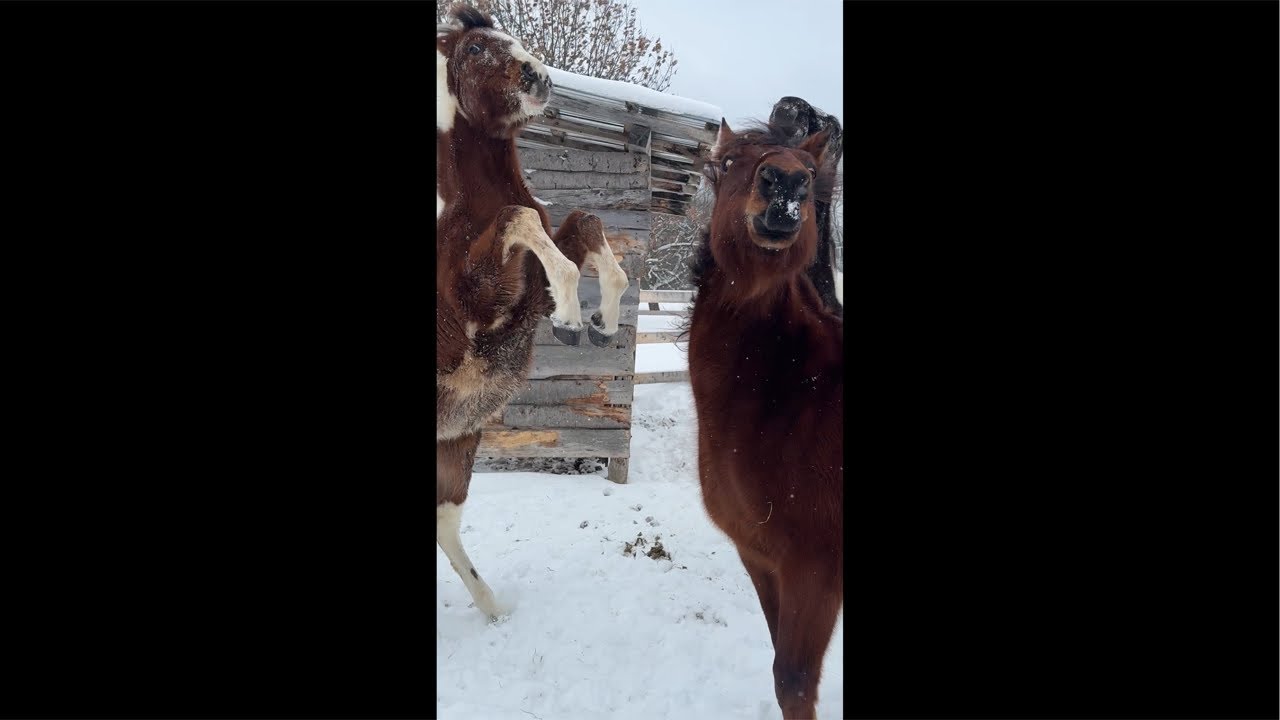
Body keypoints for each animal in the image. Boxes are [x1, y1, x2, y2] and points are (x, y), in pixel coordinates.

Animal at [435, 3, 629, 622]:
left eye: (513, 38)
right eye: (475, 49)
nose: (538, 78)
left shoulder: (525, 297)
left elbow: (582, 226)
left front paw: (599, 324)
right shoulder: (474, 302)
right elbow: (518, 219)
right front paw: (572, 320)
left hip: (456, 444)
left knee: (444, 524)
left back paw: (494, 608)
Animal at [687, 120, 842, 719]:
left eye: (811, 170)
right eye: (729, 161)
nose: (786, 187)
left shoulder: (814, 572)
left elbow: (793, 680)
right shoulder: (759, 557)